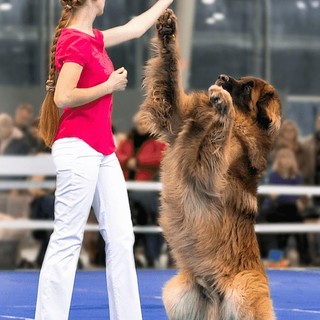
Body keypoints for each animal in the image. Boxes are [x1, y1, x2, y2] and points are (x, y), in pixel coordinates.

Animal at [136, 8, 282, 318]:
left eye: (247, 87)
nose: (222, 76)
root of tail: (215, 296)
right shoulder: (176, 118)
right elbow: (170, 76)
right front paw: (167, 31)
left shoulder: (207, 173)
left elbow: (216, 137)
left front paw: (223, 105)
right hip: (177, 293)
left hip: (244, 292)